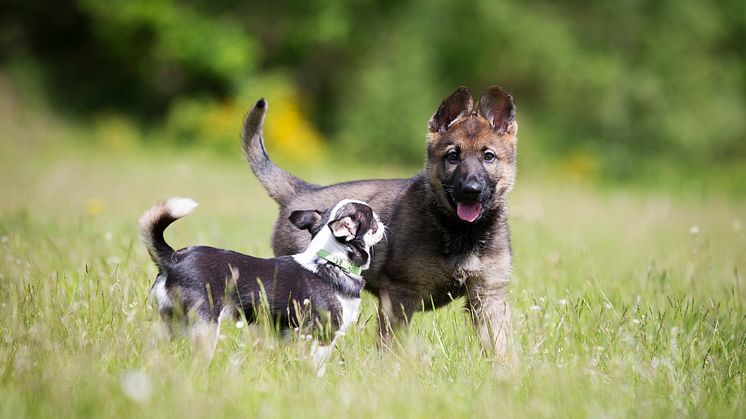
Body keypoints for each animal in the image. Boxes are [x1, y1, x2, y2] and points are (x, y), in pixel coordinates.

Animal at [139, 199, 384, 372]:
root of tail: (174, 258)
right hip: (204, 327)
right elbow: (317, 369)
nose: (382, 221)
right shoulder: (321, 339)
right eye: (373, 221)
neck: (330, 261)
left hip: (169, 323)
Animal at [241, 87, 516, 360]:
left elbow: (501, 346)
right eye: (453, 156)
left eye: (488, 156)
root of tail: (301, 191)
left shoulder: (488, 296)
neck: (461, 232)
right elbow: (390, 346)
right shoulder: (400, 295)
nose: (472, 190)